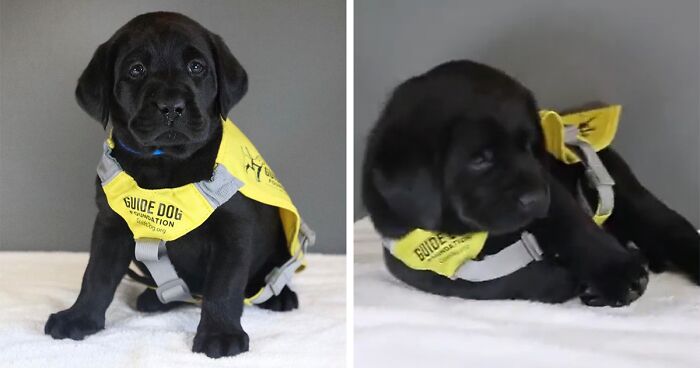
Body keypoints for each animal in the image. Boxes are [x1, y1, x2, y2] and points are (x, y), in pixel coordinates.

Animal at [42, 12, 308, 358]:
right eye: (136, 69)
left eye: (196, 67)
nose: (171, 106)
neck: (165, 162)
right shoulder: (110, 226)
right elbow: (96, 275)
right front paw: (79, 317)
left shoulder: (233, 232)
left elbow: (224, 287)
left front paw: (220, 334)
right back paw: (154, 298)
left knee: (271, 273)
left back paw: (279, 295)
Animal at [364, 61, 696, 308]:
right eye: (480, 159)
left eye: (528, 146)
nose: (536, 199)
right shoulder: (414, 260)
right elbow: (489, 284)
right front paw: (567, 280)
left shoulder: (552, 191)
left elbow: (574, 226)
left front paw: (617, 271)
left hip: (630, 198)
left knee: (672, 229)